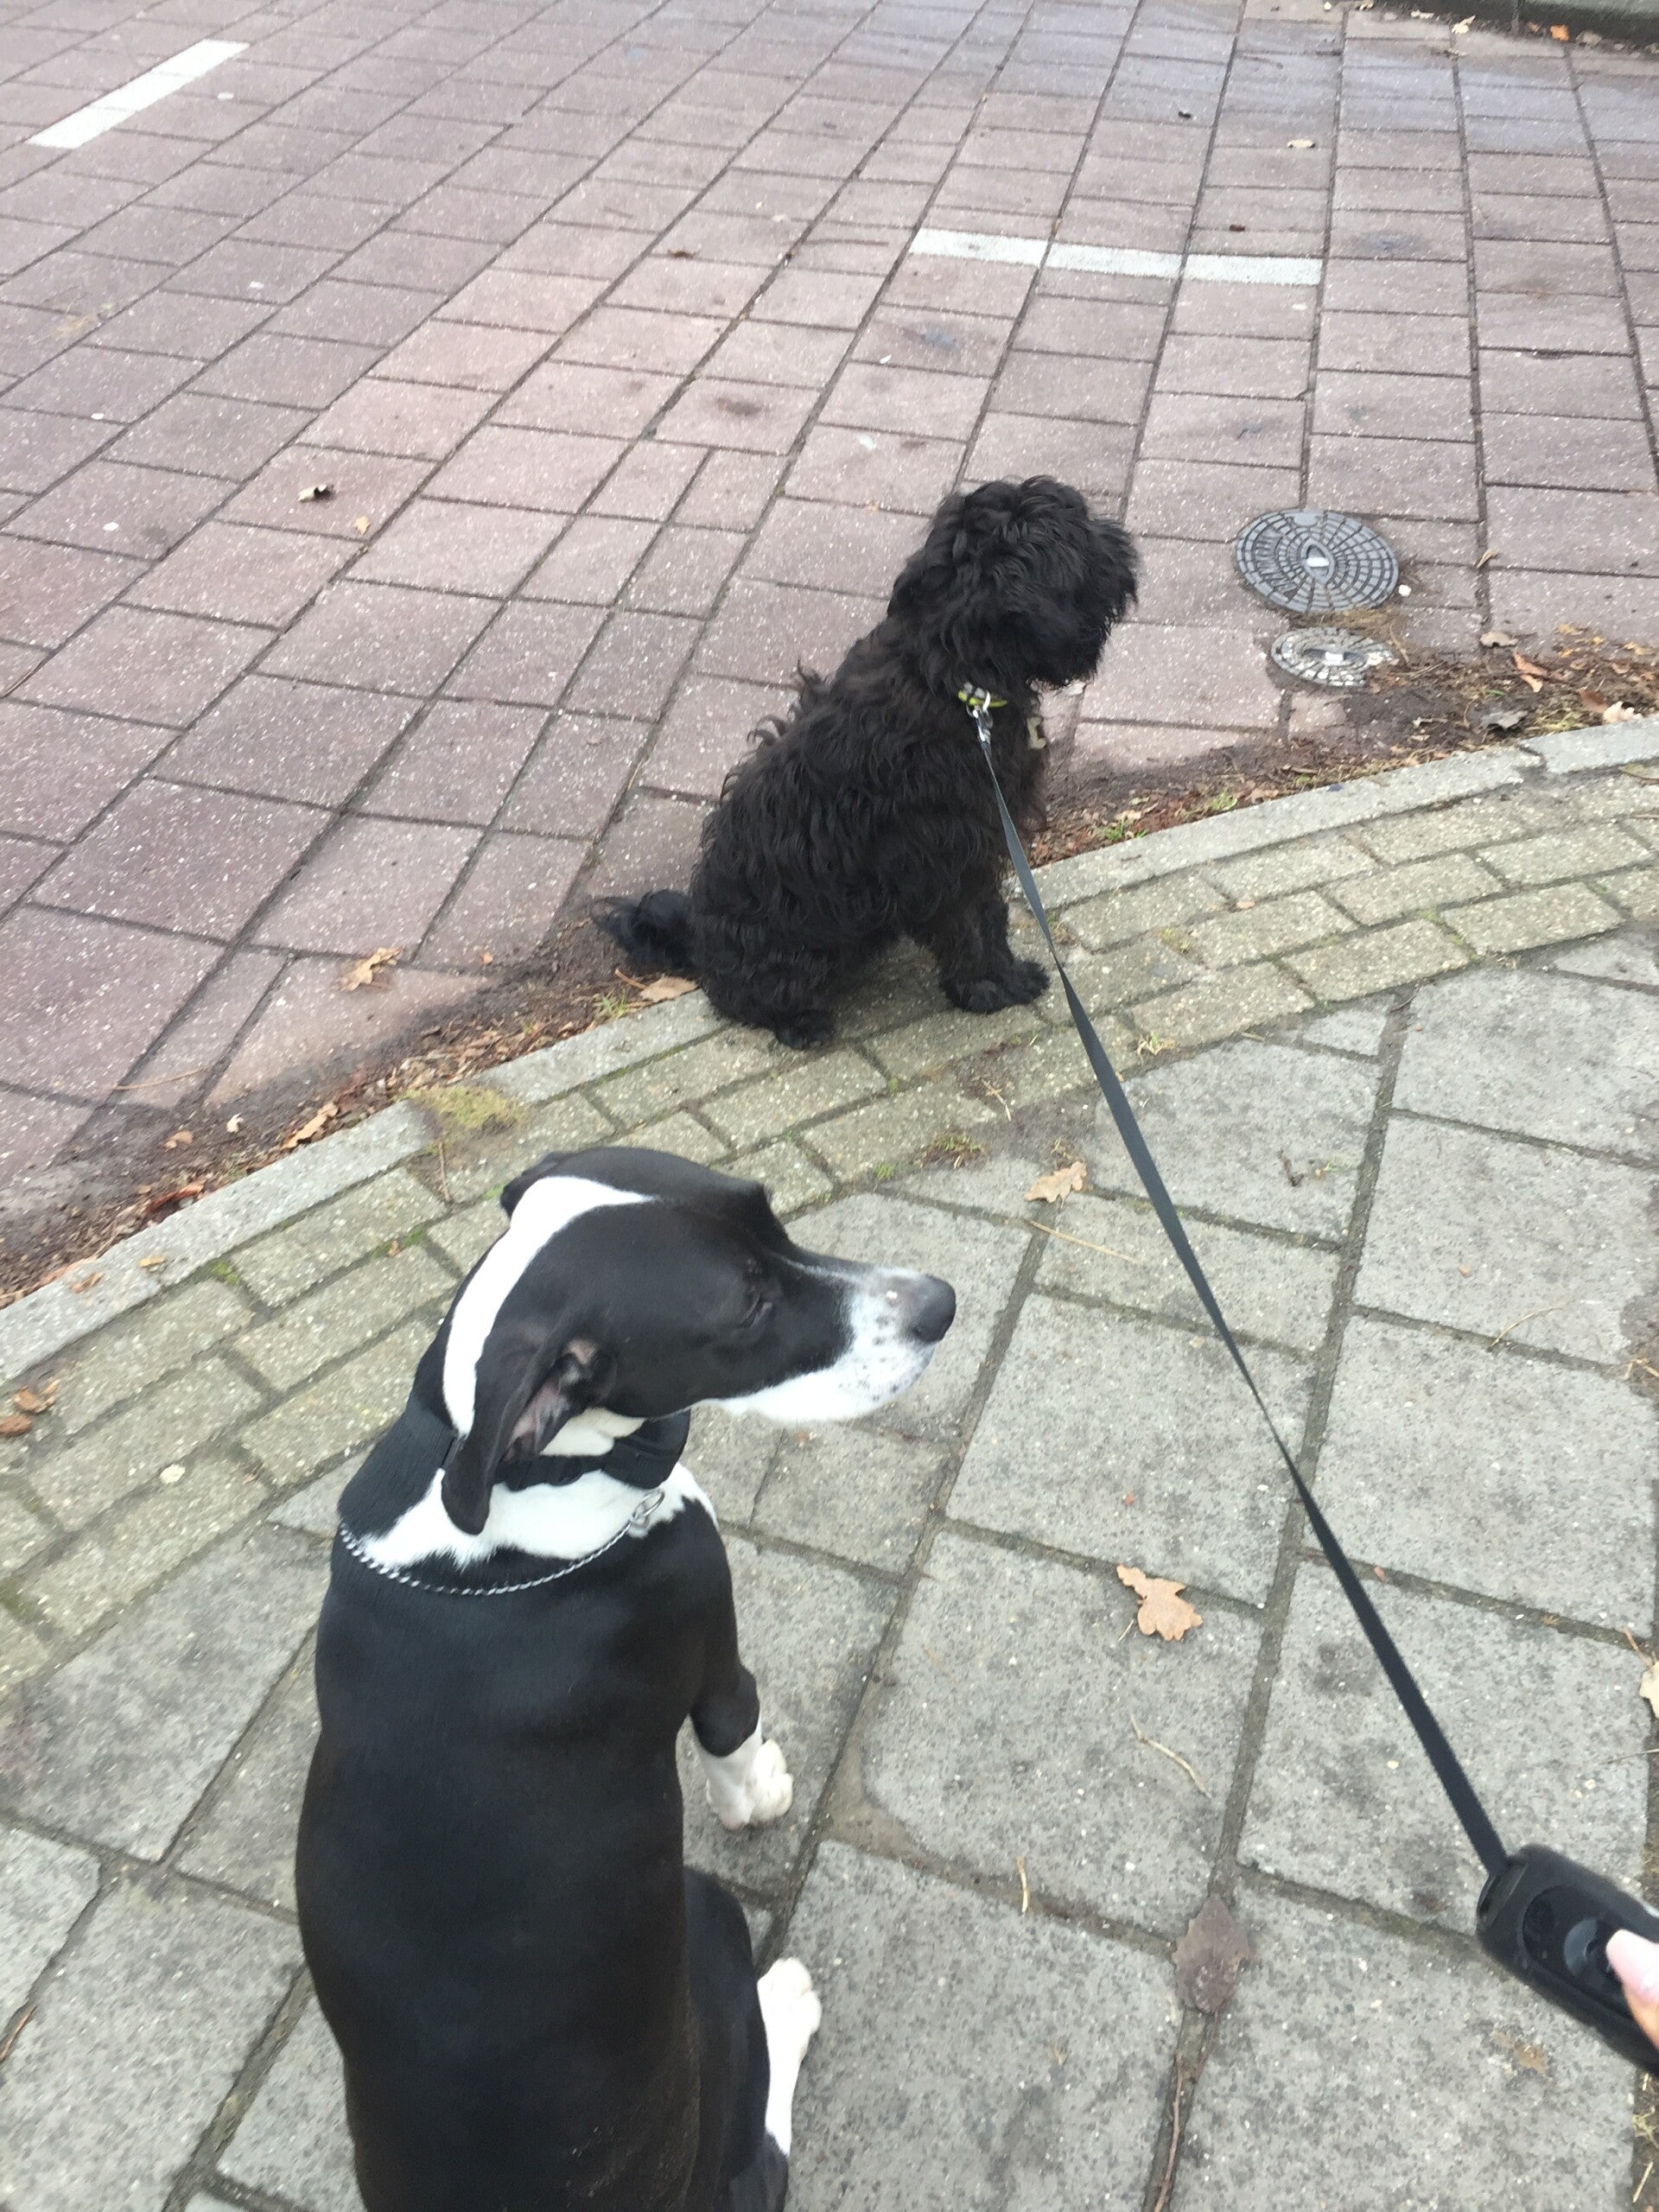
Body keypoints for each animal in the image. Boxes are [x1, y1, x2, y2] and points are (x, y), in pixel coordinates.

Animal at [295, 1146, 955, 2212]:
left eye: (768, 1214)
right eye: (746, 1304)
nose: (939, 1302)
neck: (516, 1474)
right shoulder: (708, 1647)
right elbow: (735, 1735)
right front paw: (761, 1792)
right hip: (708, 1920)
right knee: (761, 2154)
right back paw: (785, 2006)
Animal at [598, 476, 1138, 1049]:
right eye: (1077, 535)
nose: (1120, 539)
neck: (954, 678)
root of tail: (698, 935)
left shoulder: (979, 840)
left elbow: (988, 915)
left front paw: (998, 976)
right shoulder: (942, 853)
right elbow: (969, 924)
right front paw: (989, 987)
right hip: (789, 948)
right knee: (742, 997)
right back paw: (800, 1023)